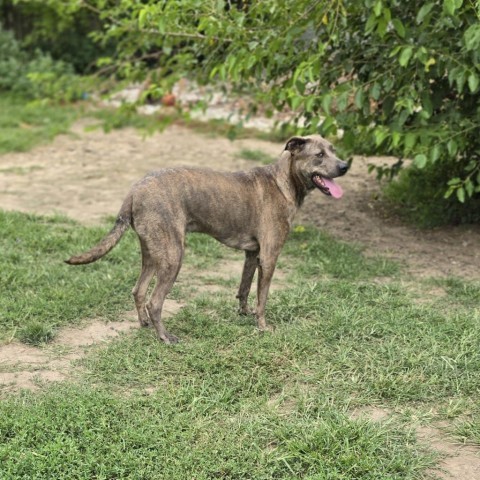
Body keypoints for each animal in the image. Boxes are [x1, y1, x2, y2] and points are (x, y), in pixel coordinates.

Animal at [65, 135, 348, 344]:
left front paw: (244, 314)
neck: (283, 182)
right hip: (173, 257)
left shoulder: (252, 254)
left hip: (152, 254)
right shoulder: (269, 258)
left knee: (138, 291)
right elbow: (263, 298)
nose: (345, 166)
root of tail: (135, 190)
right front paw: (262, 327)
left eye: (333, 150)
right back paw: (165, 337)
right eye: (319, 155)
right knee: (154, 302)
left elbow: (244, 289)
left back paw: (145, 325)